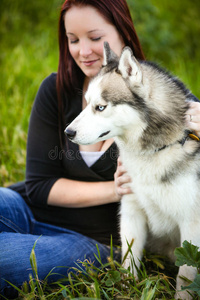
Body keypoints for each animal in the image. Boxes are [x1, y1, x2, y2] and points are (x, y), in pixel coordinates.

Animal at [65, 43, 200, 298]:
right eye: (86, 103)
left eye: (100, 107)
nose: (68, 132)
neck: (156, 150)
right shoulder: (131, 212)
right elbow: (129, 263)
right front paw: (126, 291)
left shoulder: (191, 225)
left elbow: (185, 277)